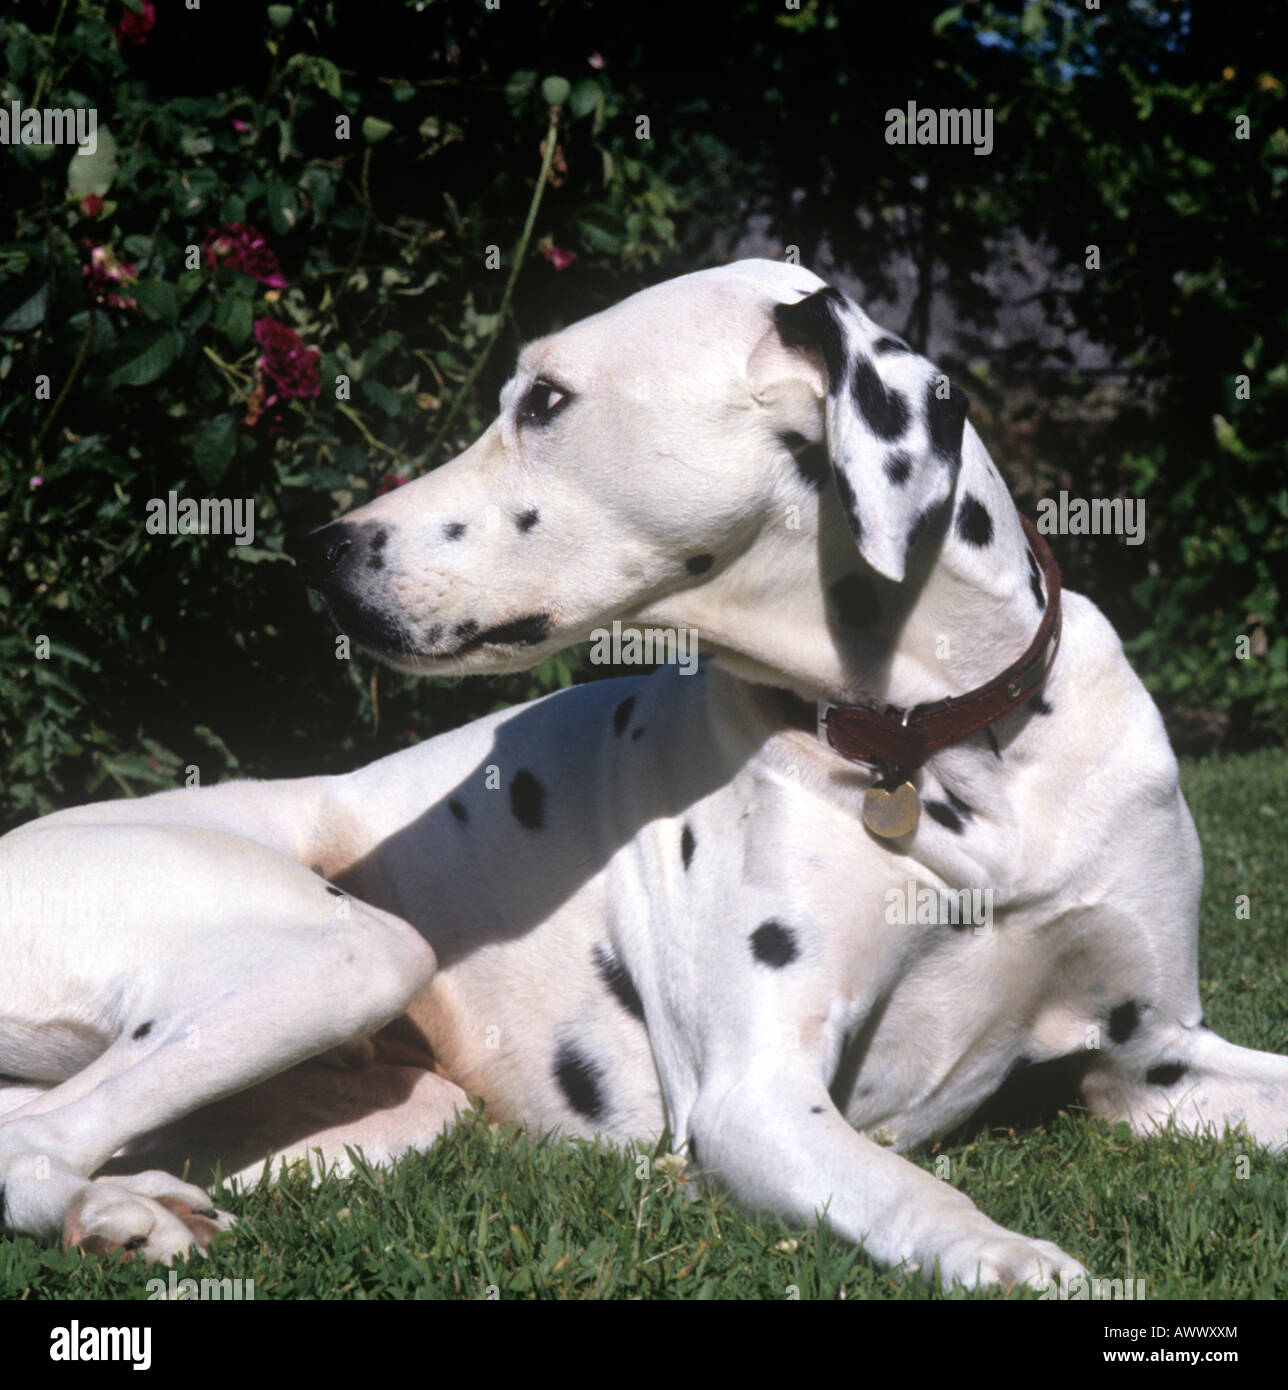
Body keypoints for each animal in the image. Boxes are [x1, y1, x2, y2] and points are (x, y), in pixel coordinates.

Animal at [2, 261, 1288, 1289]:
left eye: (544, 401)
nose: (319, 553)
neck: (941, 744)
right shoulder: (757, 1102)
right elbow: (911, 1190)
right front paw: (1013, 1254)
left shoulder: (1154, 1061)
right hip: (349, 952)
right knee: (37, 1139)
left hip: (387, 1104)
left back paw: (123, 1204)